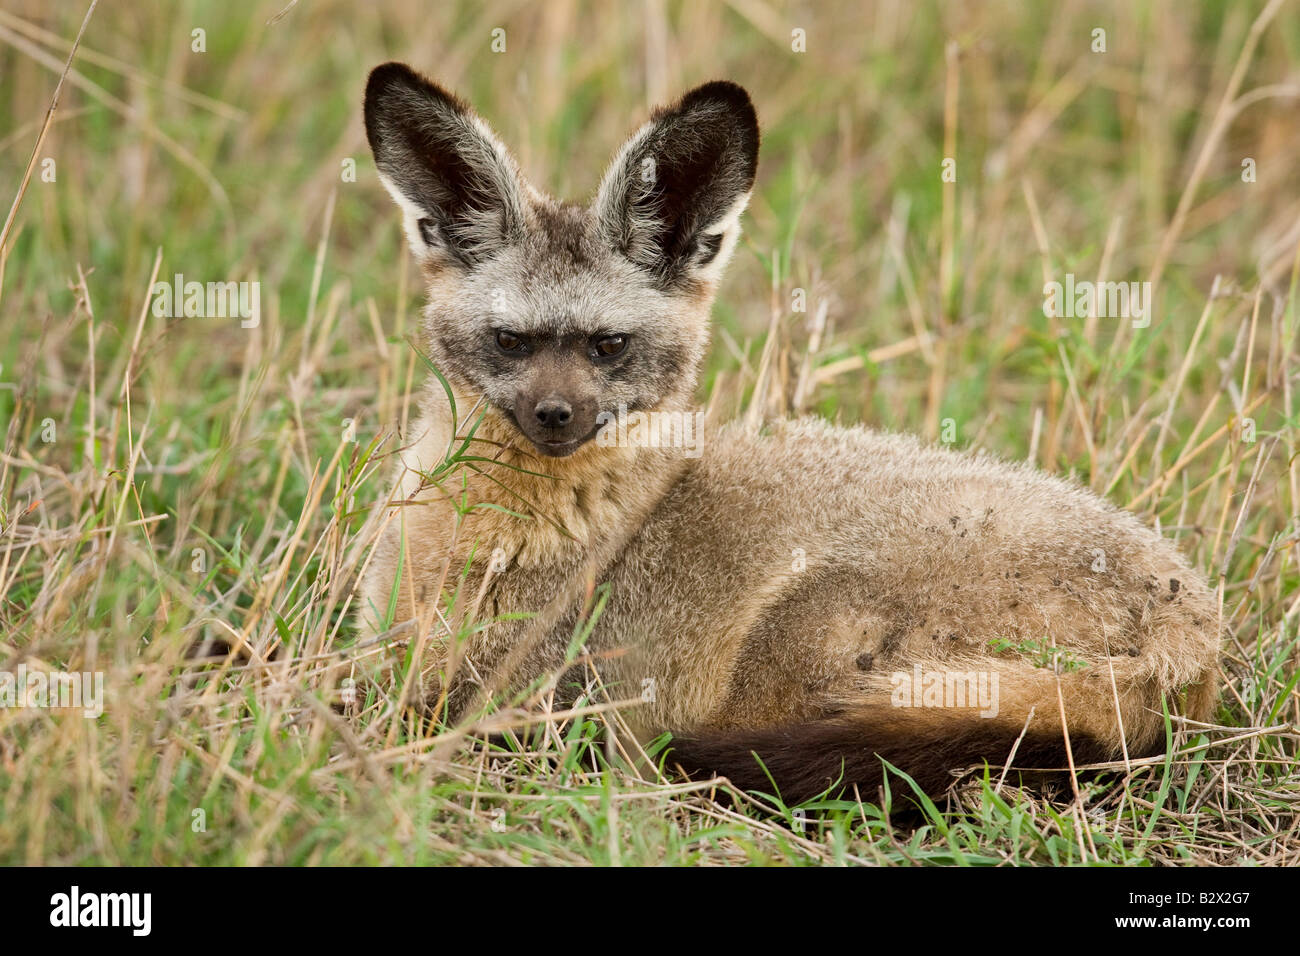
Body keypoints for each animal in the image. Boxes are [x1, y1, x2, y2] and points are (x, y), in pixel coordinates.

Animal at [357, 62, 1221, 803]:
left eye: (609, 346)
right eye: (510, 341)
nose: (555, 417)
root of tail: (1192, 633)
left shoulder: (513, 690)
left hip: (798, 625)